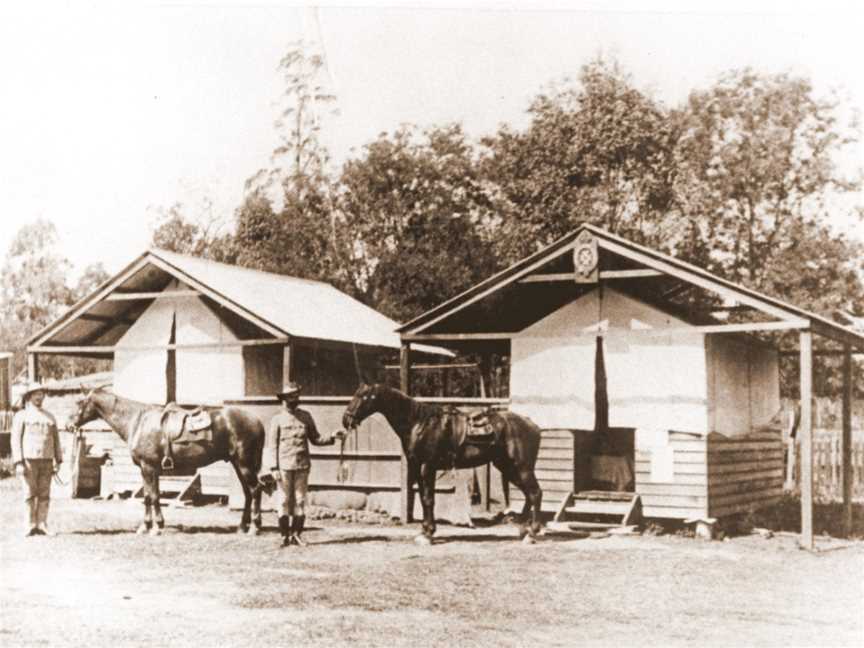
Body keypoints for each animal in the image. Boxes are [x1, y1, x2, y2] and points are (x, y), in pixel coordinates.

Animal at [71, 388, 264, 536]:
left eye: (79, 402)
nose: (68, 424)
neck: (138, 421)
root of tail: (257, 421)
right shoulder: (148, 470)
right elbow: (148, 496)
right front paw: (147, 526)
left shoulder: (149, 468)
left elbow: (153, 496)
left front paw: (156, 527)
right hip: (237, 464)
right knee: (248, 493)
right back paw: (242, 527)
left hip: (244, 464)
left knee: (255, 490)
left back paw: (254, 528)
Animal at [342, 382, 540, 544]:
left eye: (363, 396)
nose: (346, 419)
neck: (419, 423)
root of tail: (532, 425)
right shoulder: (417, 467)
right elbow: (423, 499)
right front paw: (425, 531)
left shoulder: (427, 467)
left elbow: (429, 499)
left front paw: (429, 534)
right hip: (509, 468)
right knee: (529, 495)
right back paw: (524, 530)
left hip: (522, 468)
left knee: (535, 493)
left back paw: (531, 533)